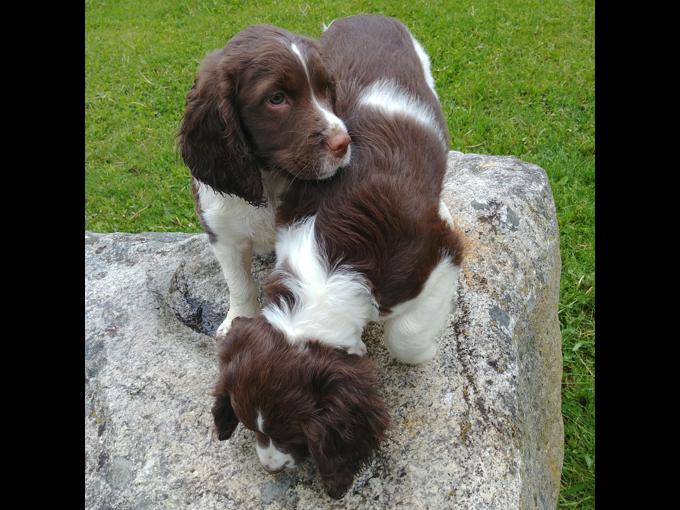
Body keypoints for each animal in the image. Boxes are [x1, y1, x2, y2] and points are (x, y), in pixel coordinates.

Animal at [178, 24, 354, 338]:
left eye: (325, 88)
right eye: (277, 98)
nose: (342, 142)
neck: (268, 179)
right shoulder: (223, 233)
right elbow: (239, 283)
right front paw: (237, 320)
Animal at [212, 14, 468, 498]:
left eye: (294, 434)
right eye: (251, 427)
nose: (270, 469)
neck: (329, 267)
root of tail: (367, 16)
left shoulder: (440, 254)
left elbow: (407, 338)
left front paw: (424, 348)